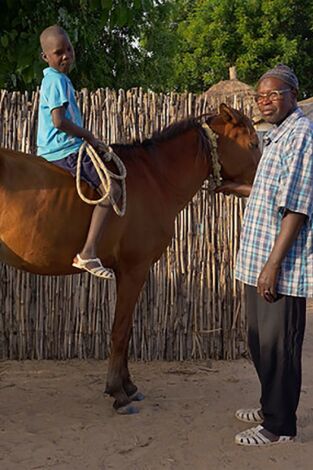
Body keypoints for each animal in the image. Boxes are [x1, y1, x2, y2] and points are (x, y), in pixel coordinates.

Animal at [0, 104, 258, 414]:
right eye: (254, 144)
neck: (157, 179)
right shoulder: (135, 269)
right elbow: (120, 331)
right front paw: (118, 393)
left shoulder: (128, 272)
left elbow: (128, 328)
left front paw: (129, 387)